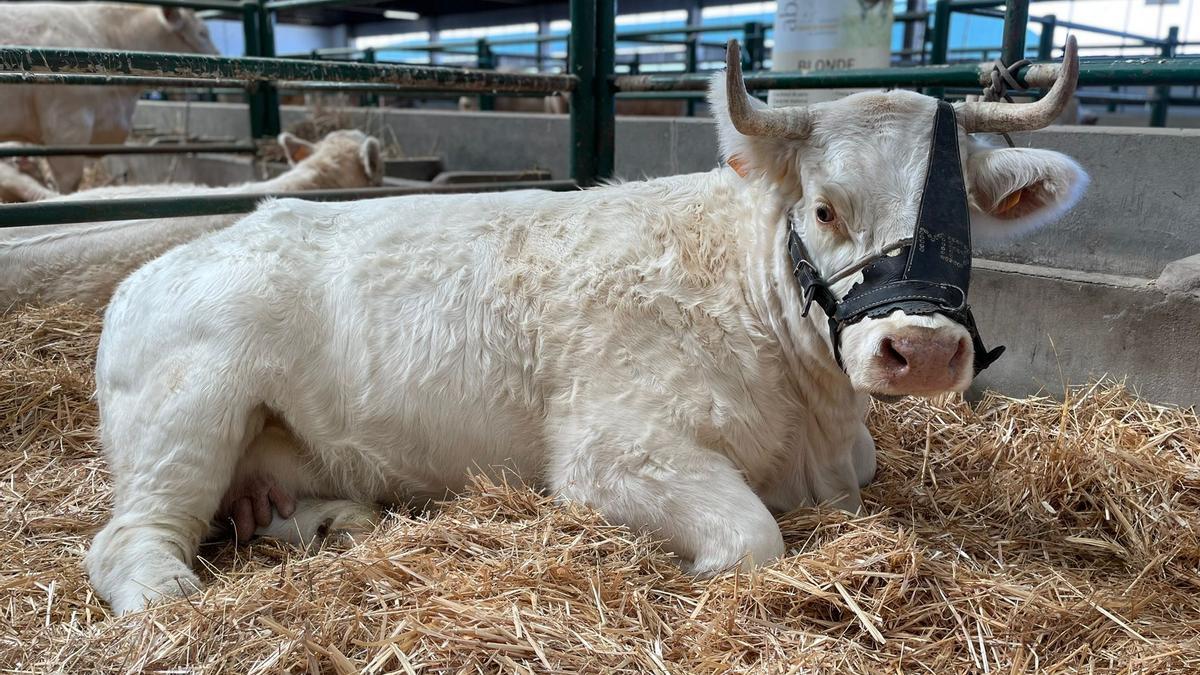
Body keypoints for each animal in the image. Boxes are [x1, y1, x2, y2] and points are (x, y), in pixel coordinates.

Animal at [88, 39, 1094, 612]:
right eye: (824, 209)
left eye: (962, 218)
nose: (918, 349)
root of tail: (154, 269)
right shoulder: (615, 450)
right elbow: (752, 540)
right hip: (189, 413)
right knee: (128, 539)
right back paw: (170, 598)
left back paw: (331, 520)